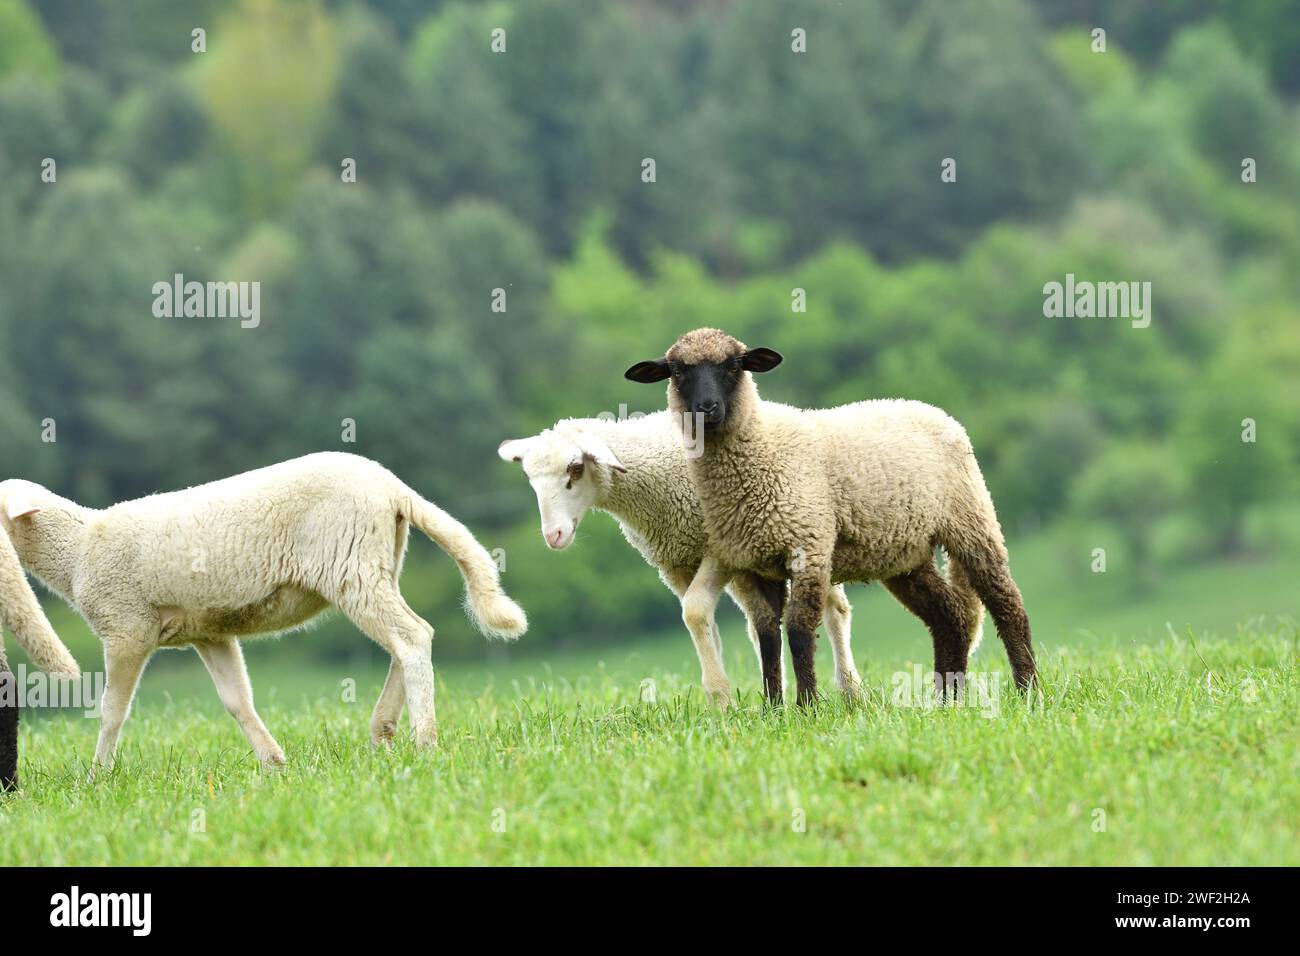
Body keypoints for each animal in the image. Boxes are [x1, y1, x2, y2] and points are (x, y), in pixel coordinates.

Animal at [498, 412, 862, 705]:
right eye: (530, 479)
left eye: (575, 468)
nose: (553, 535)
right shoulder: (674, 564)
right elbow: (705, 623)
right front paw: (725, 704)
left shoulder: (716, 552)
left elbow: (695, 612)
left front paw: (719, 697)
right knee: (758, 624)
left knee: (835, 609)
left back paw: (851, 690)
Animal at [626, 328, 1035, 705]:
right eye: (678, 371)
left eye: (733, 366)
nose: (706, 408)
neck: (763, 450)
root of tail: (934, 411)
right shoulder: (754, 563)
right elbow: (767, 636)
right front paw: (773, 710)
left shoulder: (808, 547)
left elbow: (799, 630)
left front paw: (807, 705)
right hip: (905, 554)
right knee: (950, 616)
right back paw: (947, 700)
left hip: (970, 519)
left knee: (1007, 604)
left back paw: (1026, 688)